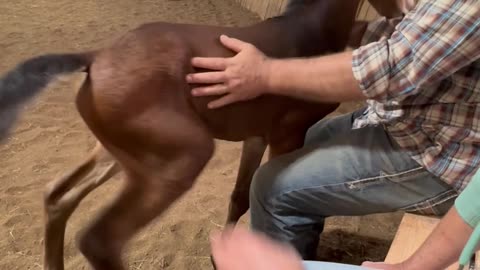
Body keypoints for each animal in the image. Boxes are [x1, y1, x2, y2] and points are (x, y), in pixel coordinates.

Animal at [0, 1, 360, 268]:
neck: (309, 29)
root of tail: (95, 58)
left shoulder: (256, 136)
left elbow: (239, 197)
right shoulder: (288, 134)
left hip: (117, 154)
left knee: (58, 195)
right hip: (182, 158)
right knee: (99, 240)